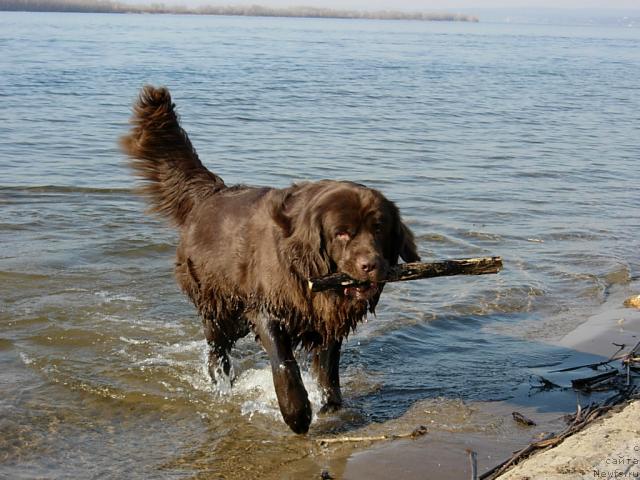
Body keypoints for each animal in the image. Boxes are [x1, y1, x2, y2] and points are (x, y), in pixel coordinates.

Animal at [120, 86, 420, 436]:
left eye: (379, 228)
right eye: (342, 233)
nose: (370, 265)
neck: (308, 267)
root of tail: (212, 193)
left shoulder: (327, 320)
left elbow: (327, 369)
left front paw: (330, 406)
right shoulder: (267, 308)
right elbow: (284, 364)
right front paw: (297, 413)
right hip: (220, 304)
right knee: (217, 347)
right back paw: (220, 382)